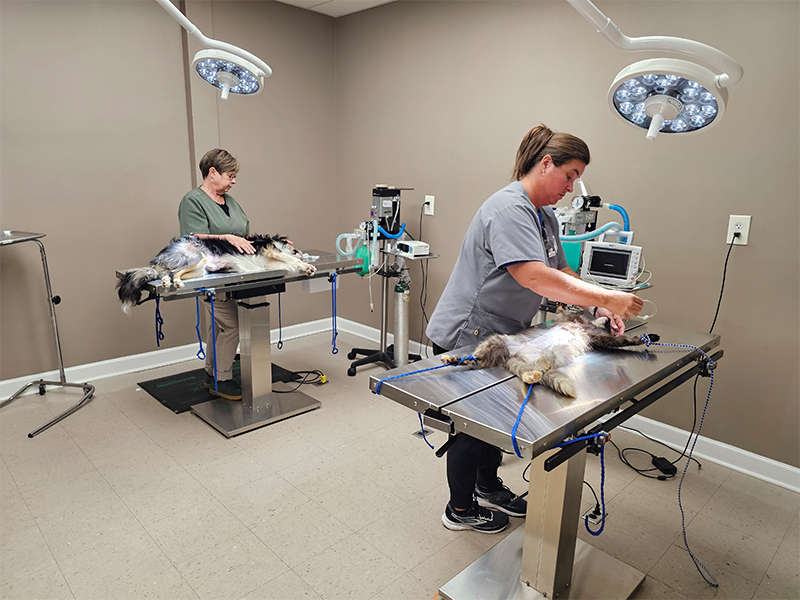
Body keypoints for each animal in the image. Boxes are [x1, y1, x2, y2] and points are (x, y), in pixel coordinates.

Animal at [115, 233, 316, 314]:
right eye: (295, 246)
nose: (300, 251)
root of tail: (159, 258)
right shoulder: (272, 251)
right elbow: (294, 260)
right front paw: (307, 266)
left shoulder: (271, 262)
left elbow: (291, 262)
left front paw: (305, 264)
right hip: (198, 258)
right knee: (173, 273)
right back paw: (175, 283)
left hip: (198, 270)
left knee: (168, 274)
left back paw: (167, 283)